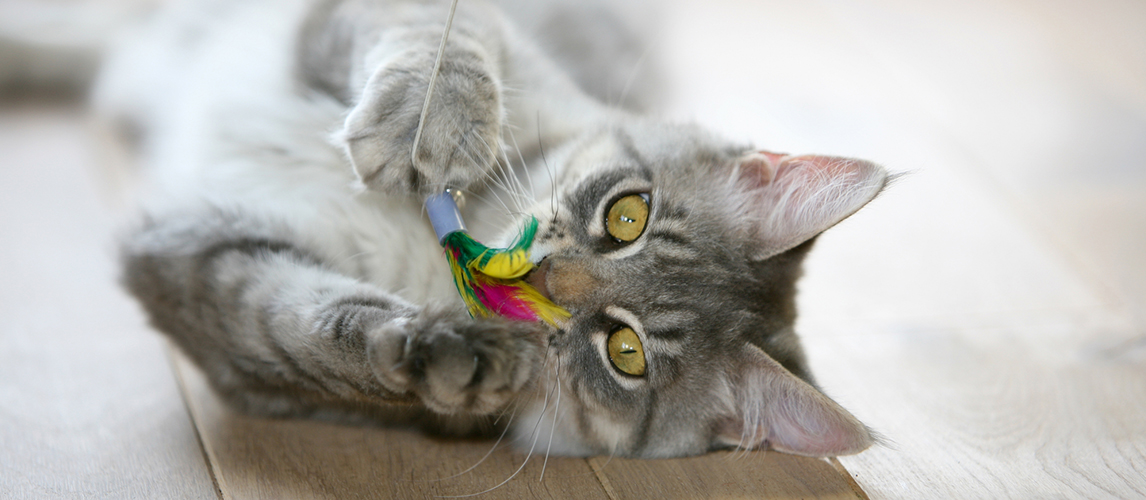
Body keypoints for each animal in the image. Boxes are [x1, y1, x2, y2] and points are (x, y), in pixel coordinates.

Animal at [96, 0, 884, 461]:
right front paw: (426, 129)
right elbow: (439, 47)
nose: (545, 278)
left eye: (625, 353)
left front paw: (447, 354)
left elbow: (313, 329)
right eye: (628, 215)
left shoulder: (197, 263)